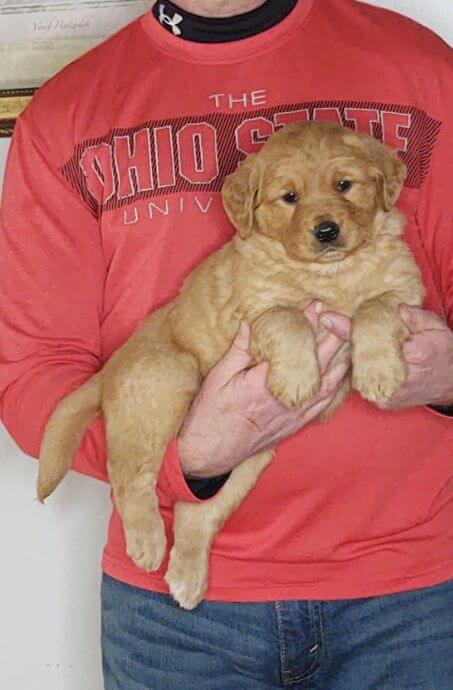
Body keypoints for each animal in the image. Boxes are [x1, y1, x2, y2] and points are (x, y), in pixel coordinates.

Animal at [36, 121, 424, 604]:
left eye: (344, 185)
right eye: (289, 197)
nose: (327, 231)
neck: (332, 274)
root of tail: (111, 367)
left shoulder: (406, 292)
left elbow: (376, 308)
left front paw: (379, 371)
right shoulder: (253, 313)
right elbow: (288, 317)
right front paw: (299, 378)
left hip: (252, 456)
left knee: (197, 511)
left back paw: (186, 576)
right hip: (168, 377)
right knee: (127, 472)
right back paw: (146, 542)